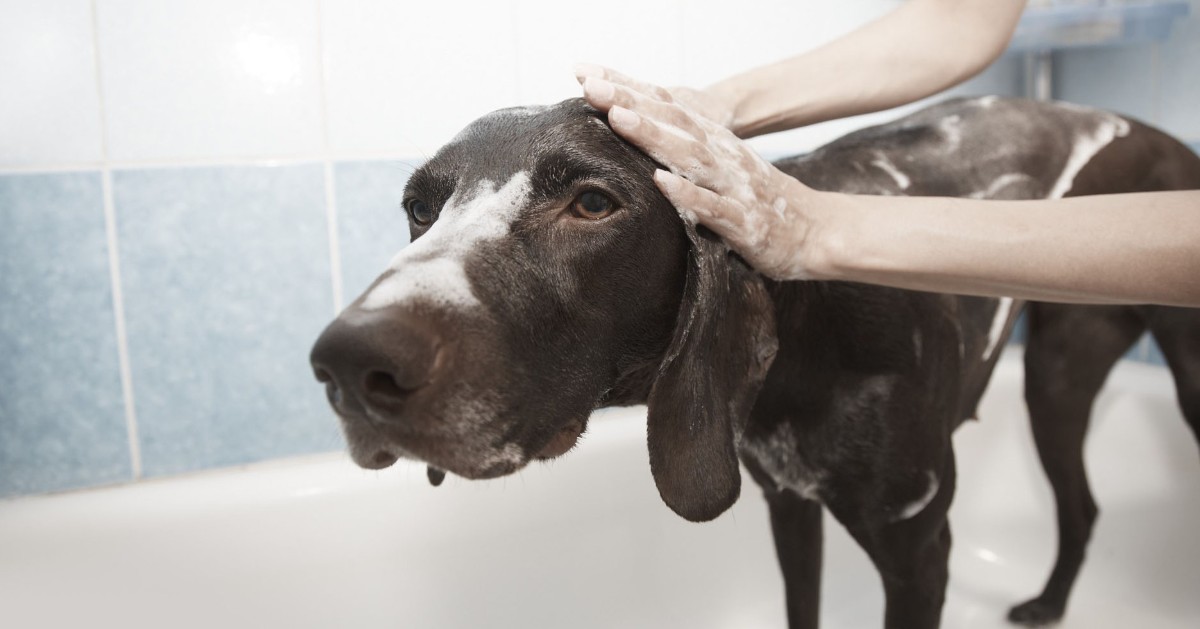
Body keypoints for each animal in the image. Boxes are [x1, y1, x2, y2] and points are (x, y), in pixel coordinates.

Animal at [312, 94, 1200, 629]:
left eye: (592, 202)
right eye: (419, 208)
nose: (348, 363)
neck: (807, 344)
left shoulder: (919, 552)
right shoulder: (788, 507)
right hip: (1057, 379)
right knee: (1081, 505)